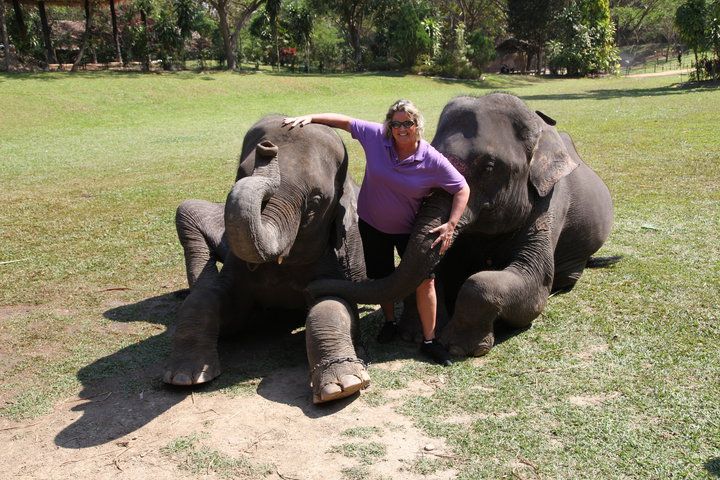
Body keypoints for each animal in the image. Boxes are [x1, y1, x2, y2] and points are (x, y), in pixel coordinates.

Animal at [165, 114, 372, 404]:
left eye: (315, 203)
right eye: (241, 174)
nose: (267, 148)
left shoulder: (333, 261)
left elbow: (333, 305)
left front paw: (343, 387)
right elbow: (218, 308)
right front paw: (184, 376)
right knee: (186, 210)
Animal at [308, 93, 612, 356]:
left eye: (489, 167)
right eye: (433, 154)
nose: (311, 287)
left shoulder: (548, 205)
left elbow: (531, 284)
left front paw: (456, 347)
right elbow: (429, 273)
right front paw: (413, 336)